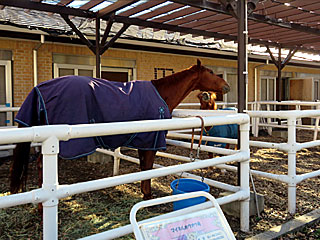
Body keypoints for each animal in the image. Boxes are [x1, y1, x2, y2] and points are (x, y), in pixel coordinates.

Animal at [10, 59, 230, 200]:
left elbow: (143, 168)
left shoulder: (144, 143)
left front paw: (145, 194)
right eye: (211, 72)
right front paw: (148, 196)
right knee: (41, 166)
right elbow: (147, 169)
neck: (161, 94)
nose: (226, 86)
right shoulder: (150, 142)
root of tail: (40, 88)